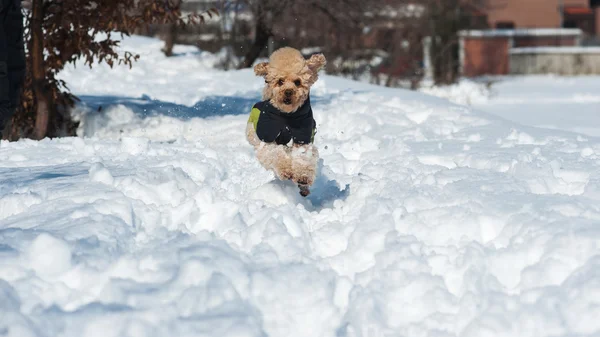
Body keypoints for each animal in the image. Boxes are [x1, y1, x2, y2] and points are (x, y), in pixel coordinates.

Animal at [245, 46, 326, 196]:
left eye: (297, 82)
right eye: (280, 81)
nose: (288, 92)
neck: (287, 115)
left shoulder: (303, 136)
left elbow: (303, 156)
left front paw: (303, 177)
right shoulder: (267, 138)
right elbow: (275, 153)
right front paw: (286, 170)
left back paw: (303, 188)